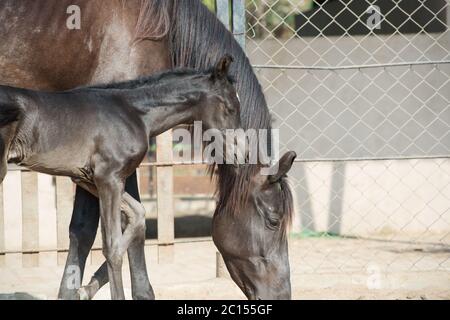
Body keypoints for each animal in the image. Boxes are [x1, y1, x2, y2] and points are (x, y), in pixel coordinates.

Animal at [0, 55, 241, 300]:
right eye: (231, 108)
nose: (243, 153)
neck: (133, 114)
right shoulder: (109, 178)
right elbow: (113, 246)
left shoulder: (88, 179)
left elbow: (138, 215)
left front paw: (84, 290)